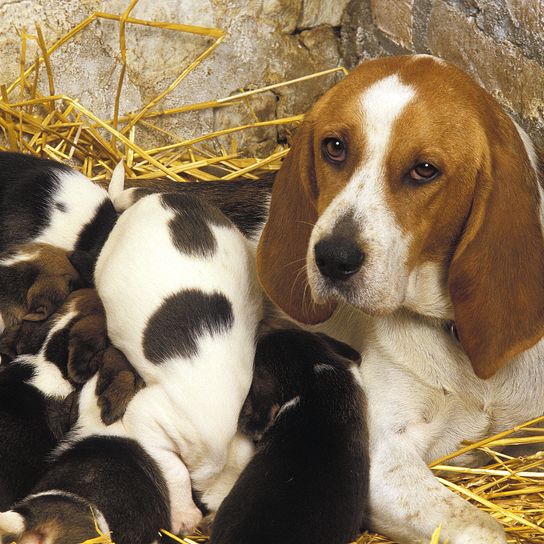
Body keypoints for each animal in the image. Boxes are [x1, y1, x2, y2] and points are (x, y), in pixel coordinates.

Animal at [256, 56, 544, 544]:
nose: (332, 258)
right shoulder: (383, 458)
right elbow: (481, 526)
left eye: (424, 170)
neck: (454, 335)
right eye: (334, 147)